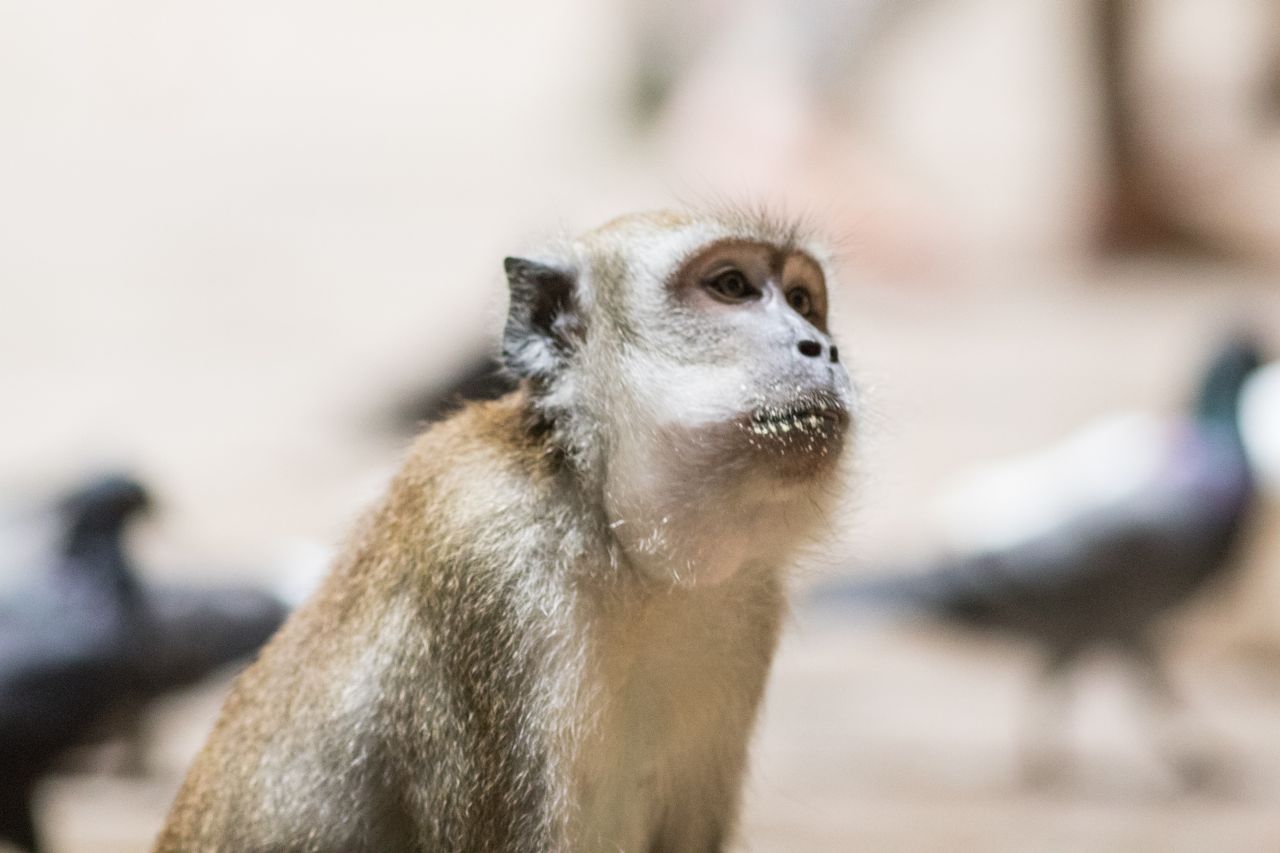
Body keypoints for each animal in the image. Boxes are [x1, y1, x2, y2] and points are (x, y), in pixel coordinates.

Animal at [155, 207, 854, 853]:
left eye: (802, 301)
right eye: (731, 285)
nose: (821, 347)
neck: (617, 542)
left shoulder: (747, 606)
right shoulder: (487, 553)